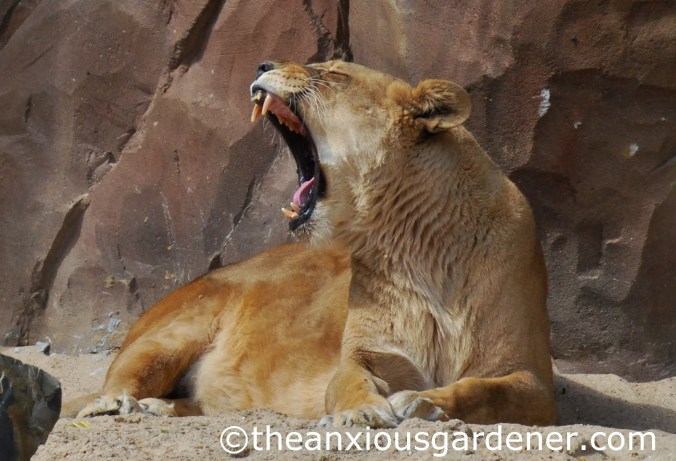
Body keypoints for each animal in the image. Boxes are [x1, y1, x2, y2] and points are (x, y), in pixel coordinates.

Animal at [66, 60, 556, 428]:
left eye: (333, 73)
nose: (263, 64)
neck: (412, 245)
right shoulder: (365, 355)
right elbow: (348, 383)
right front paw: (360, 413)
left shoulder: (531, 378)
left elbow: (485, 392)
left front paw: (426, 402)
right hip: (175, 330)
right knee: (115, 382)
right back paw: (115, 405)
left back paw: (158, 408)